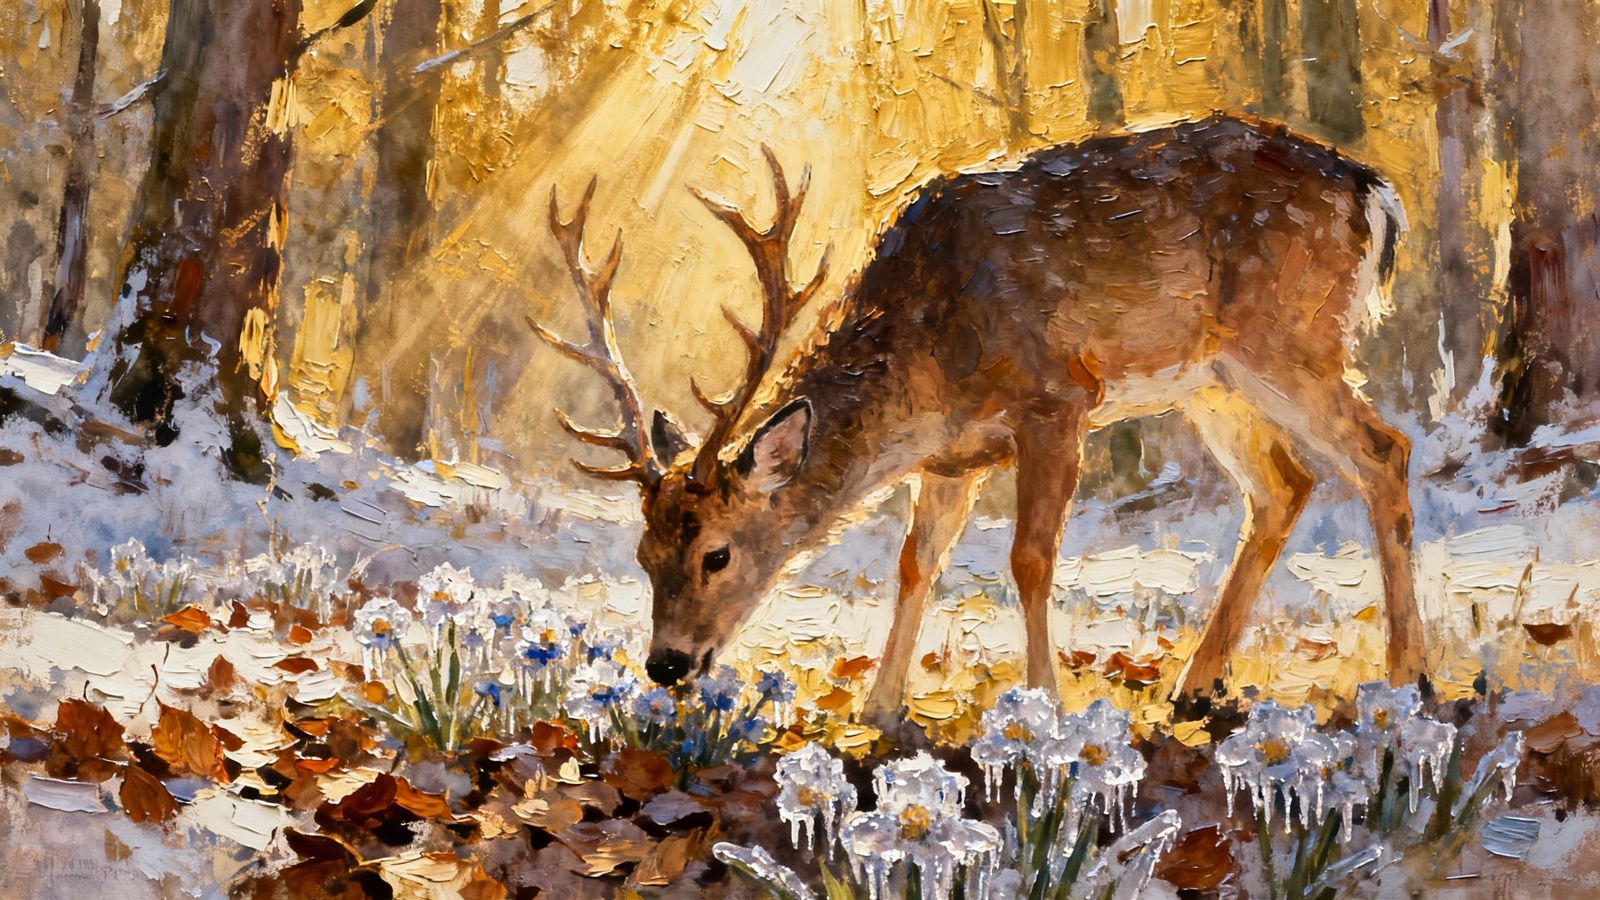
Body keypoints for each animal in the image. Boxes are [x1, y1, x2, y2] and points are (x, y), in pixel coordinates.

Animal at [529, 113, 1427, 725]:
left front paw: (1044, 701)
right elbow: (915, 563)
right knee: (1284, 485)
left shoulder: (1057, 396)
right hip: (1214, 381)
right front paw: (880, 708)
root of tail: (1373, 192)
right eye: (642, 555)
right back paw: (1196, 688)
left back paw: (1409, 675)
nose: (666, 665)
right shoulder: (952, 460)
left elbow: (1030, 558)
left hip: (1289, 339)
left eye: (716, 553)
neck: (931, 364)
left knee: (1383, 450)